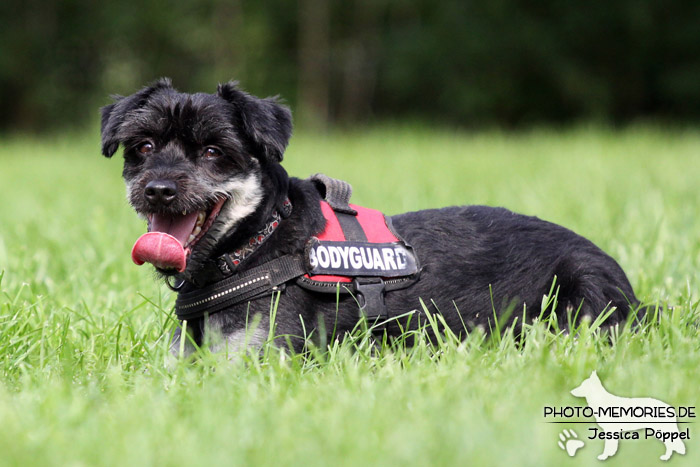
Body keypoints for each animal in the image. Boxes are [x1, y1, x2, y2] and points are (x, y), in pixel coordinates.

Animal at [101, 78, 644, 354]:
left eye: (214, 151)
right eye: (143, 146)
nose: (159, 189)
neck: (255, 243)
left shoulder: (258, 355)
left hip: (583, 292)